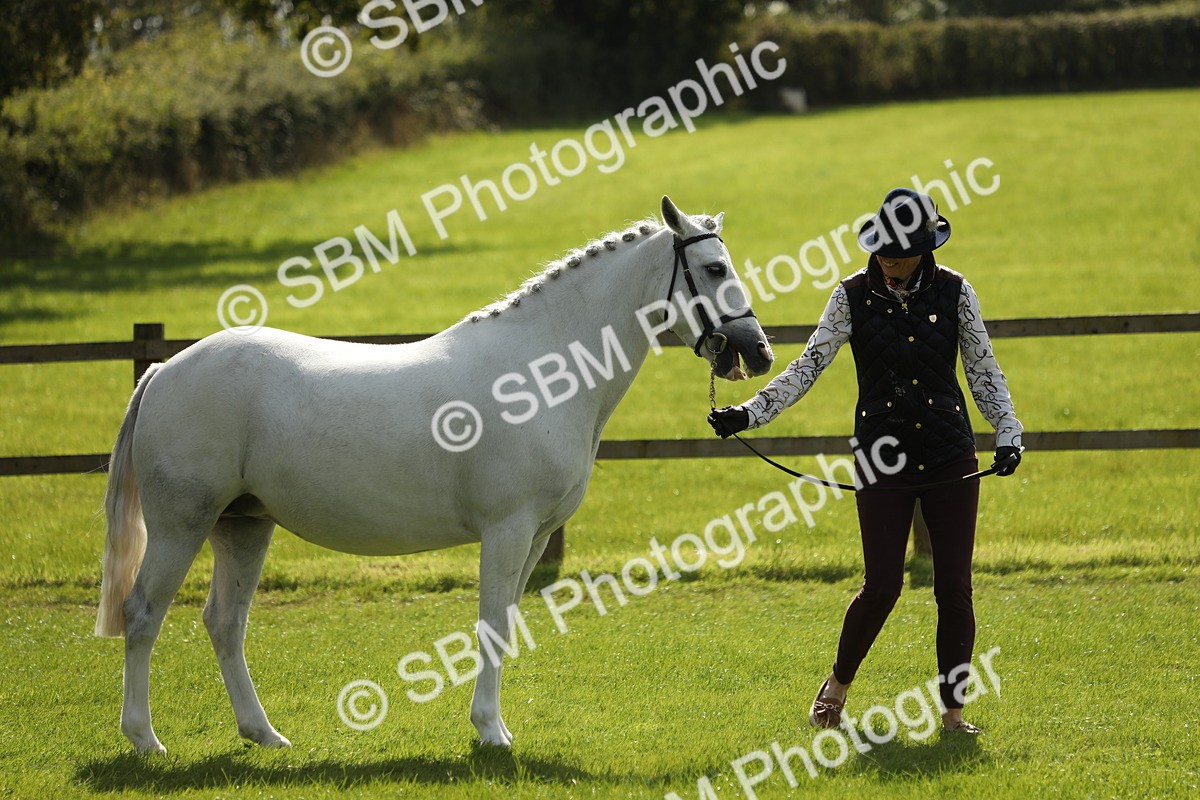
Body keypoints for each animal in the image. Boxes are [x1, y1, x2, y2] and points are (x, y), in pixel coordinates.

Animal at [94, 195, 774, 753]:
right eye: (714, 269)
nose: (759, 352)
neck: (540, 370)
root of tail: (163, 369)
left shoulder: (533, 537)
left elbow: (506, 624)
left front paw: (492, 727)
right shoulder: (507, 530)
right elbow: (492, 623)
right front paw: (490, 733)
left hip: (243, 525)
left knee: (225, 623)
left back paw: (263, 734)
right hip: (183, 524)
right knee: (143, 613)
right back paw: (145, 739)